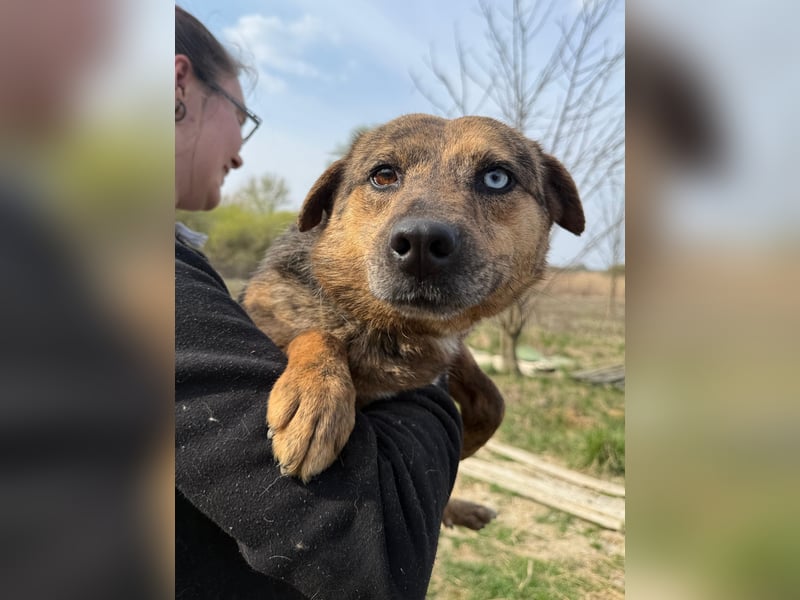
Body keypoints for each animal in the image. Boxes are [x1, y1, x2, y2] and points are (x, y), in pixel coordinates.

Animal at [242, 113, 584, 529]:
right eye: (383, 175)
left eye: (496, 178)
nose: (421, 243)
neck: (397, 327)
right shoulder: (268, 308)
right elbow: (317, 334)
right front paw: (315, 399)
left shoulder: (448, 355)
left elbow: (493, 399)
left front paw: (468, 445)